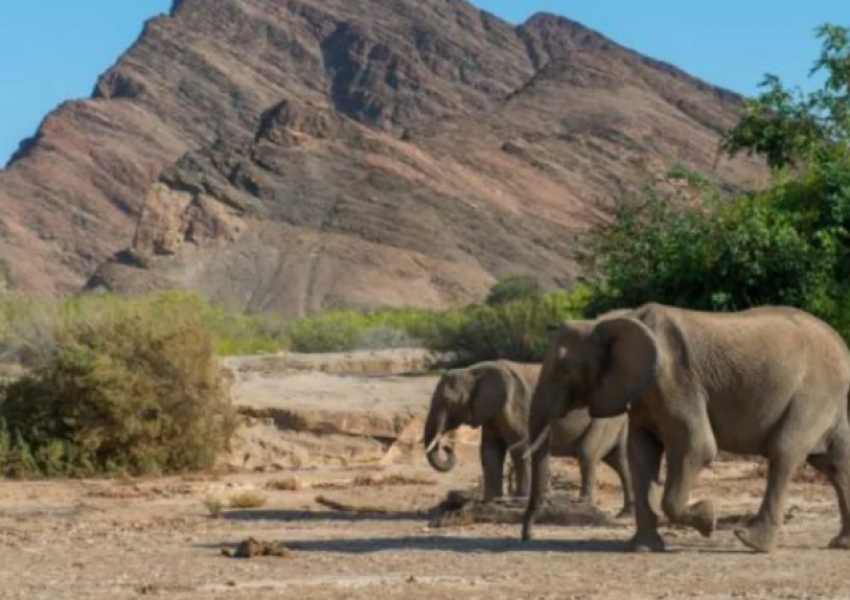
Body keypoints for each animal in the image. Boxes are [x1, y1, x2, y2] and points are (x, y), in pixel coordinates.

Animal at [420, 356, 632, 516]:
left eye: (449, 402)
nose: (447, 447)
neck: (474, 370)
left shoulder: (517, 404)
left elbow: (520, 446)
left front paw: (518, 501)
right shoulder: (491, 411)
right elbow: (490, 450)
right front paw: (491, 502)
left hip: (603, 420)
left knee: (587, 454)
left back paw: (582, 505)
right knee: (620, 460)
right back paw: (624, 514)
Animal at [520, 302, 848, 556]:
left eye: (564, 371)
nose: (527, 537)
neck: (614, 320)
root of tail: (841, 344)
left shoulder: (676, 381)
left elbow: (697, 447)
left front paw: (708, 518)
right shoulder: (642, 391)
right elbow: (641, 453)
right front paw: (642, 549)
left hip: (813, 393)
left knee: (784, 452)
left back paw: (752, 541)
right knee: (835, 461)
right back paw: (840, 544)